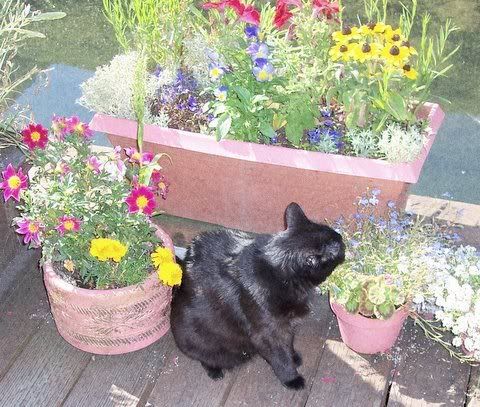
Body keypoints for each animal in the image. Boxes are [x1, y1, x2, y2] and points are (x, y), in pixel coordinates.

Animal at [171, 202, 344, 390]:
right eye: (337, 248)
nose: (342, 239)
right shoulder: (267, 333)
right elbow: (280, 357)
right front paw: (292, 378)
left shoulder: (286, 326)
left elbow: (289, 342)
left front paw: (294, 356)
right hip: (195, 338)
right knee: (204, 357)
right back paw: (215, 371)